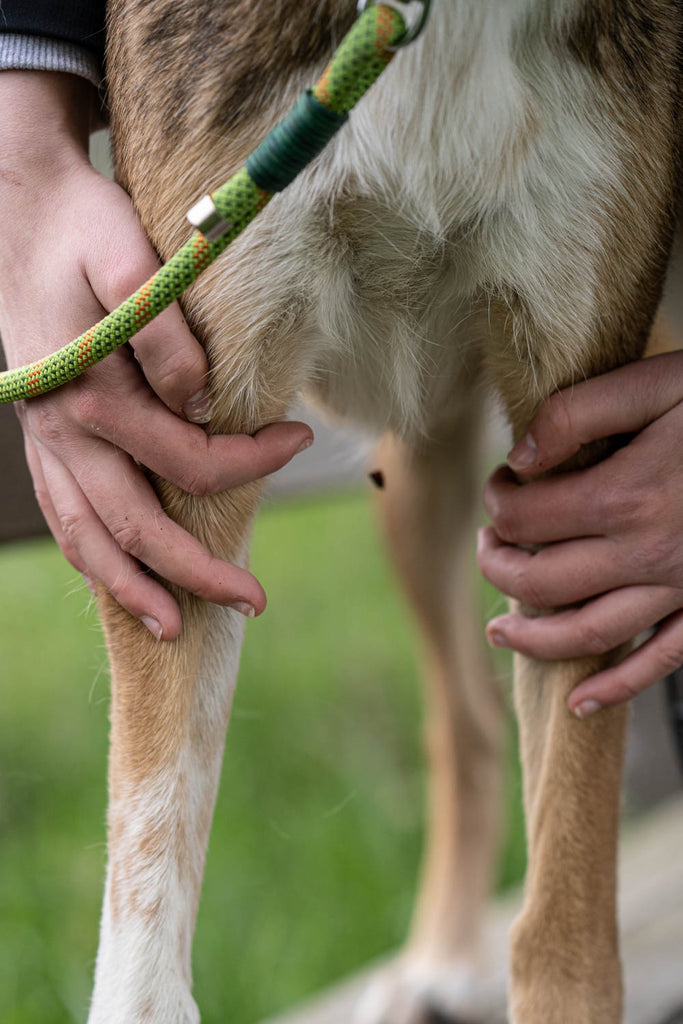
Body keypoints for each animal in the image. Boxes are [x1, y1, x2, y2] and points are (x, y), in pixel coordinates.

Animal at [81, 2, 683, 1024]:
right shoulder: (182, 463)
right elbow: (145, 934)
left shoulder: (587, 479)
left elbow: (562, 932)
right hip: (413, 489)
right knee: (467, 721)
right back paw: (439, 958)